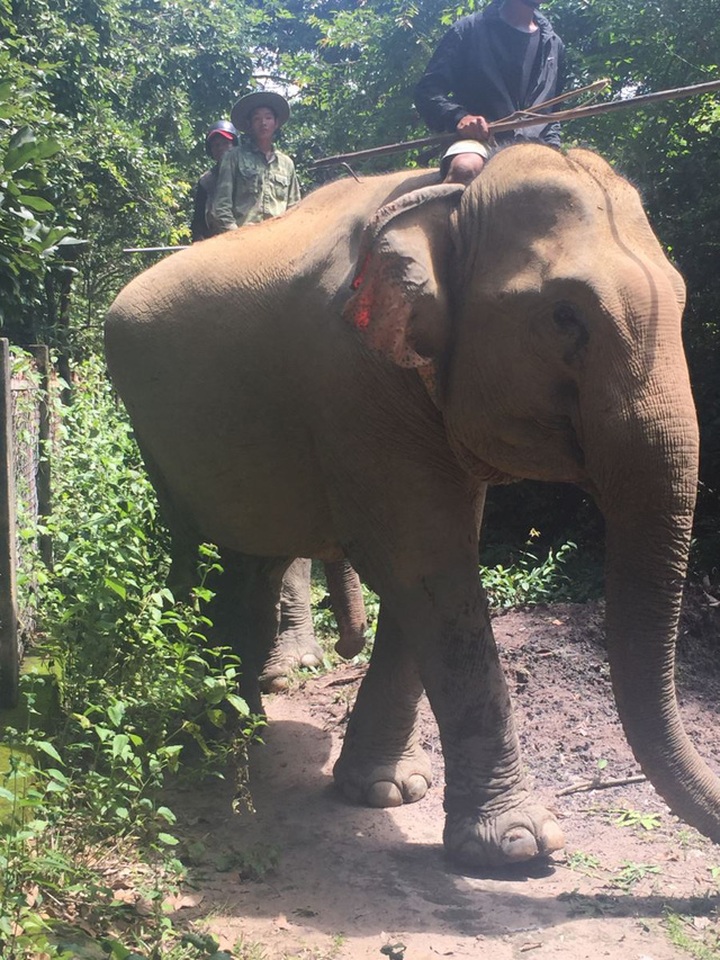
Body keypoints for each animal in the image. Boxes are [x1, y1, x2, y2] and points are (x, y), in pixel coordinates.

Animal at [104, 142, 720, 869]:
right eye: (564, 317)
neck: (451, 202)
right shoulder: (354, 378)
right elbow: (424, 562)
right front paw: (519, 846)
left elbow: (426, 565)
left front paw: (388, 792)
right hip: (151, 430)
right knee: (198, 551)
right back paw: (220, 735)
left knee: (250, 563)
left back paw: (246, 725)